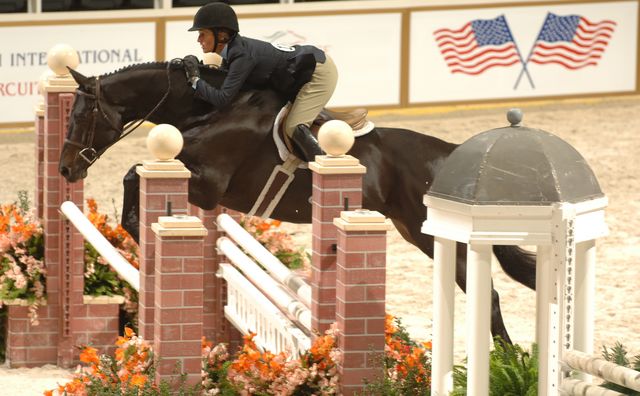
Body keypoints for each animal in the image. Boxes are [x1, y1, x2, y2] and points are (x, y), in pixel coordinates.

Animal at [57, 62, 536, 344]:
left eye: (82, 116)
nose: (65, 169)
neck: (206, 111)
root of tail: (452, 157)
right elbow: (132, 175)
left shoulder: (208, 184)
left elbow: (133, 173)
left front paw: (140, 232)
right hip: (413, 230)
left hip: (429, 234)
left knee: (490, 295)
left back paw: (508, 360)